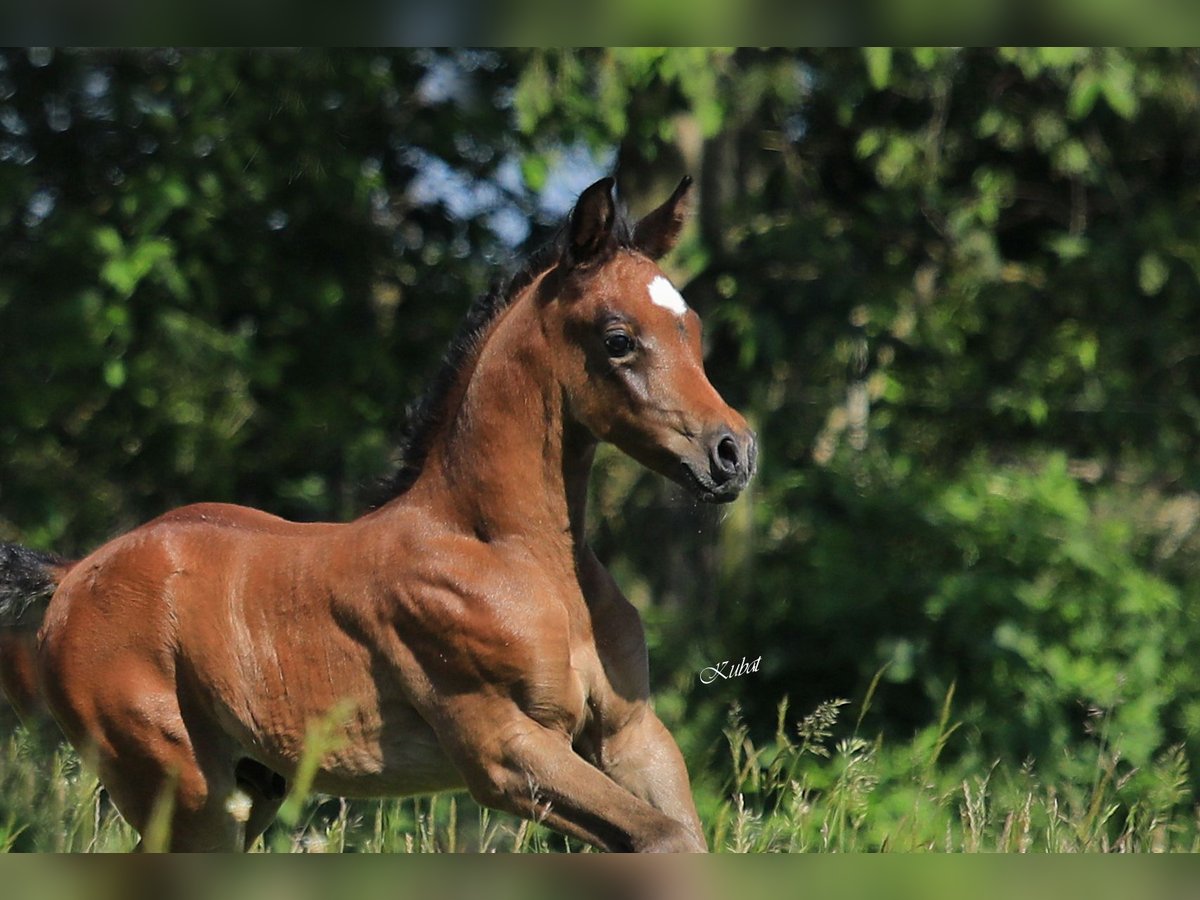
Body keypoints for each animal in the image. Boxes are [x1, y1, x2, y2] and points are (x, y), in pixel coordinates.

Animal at [0, 176, 753, 854]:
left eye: (691, 327)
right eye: (617, 337)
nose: (733, 453)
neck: (517, 558)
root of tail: (73, 575)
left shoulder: (632, 736)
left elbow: (681, 835)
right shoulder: (503, 751)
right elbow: (662, 840)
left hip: (250, 787)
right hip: (180, 789)